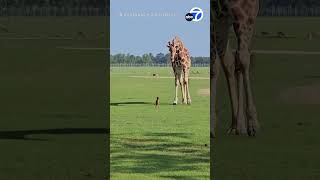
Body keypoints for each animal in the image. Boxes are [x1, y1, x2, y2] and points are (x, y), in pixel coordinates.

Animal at [210, 0, 260, 137]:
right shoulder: (213, 18)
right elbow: (213, 66)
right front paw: (210, 126)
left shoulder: (246, 10)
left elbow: (244, 59)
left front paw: (252, 125)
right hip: (221, 20)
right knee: (228, 60)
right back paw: (235, 125)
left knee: (239, 57)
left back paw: (240, 125)